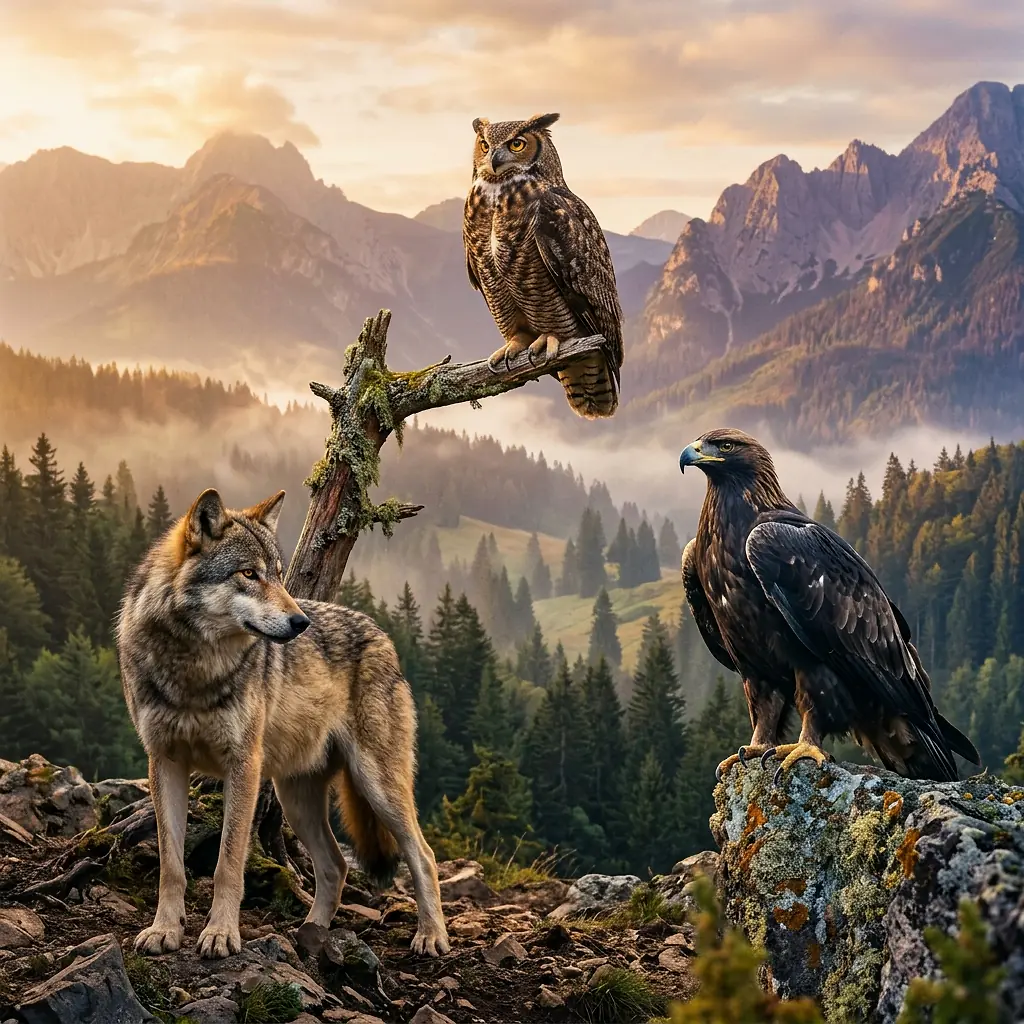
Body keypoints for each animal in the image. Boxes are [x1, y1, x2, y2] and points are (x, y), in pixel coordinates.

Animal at [116, 487, 450, 959]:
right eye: (249, 574)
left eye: (277, 575)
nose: (300, 623)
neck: (194, 668)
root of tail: (382, 635)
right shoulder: (164, 762)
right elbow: (172, 865)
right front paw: (164, 930)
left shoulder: (243, 765)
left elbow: (227, 863)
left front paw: (221, 934)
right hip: (296, 799)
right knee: (335, 866)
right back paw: (311, 934)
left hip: (377, 785)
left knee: (422, 854)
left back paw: (431, 936)